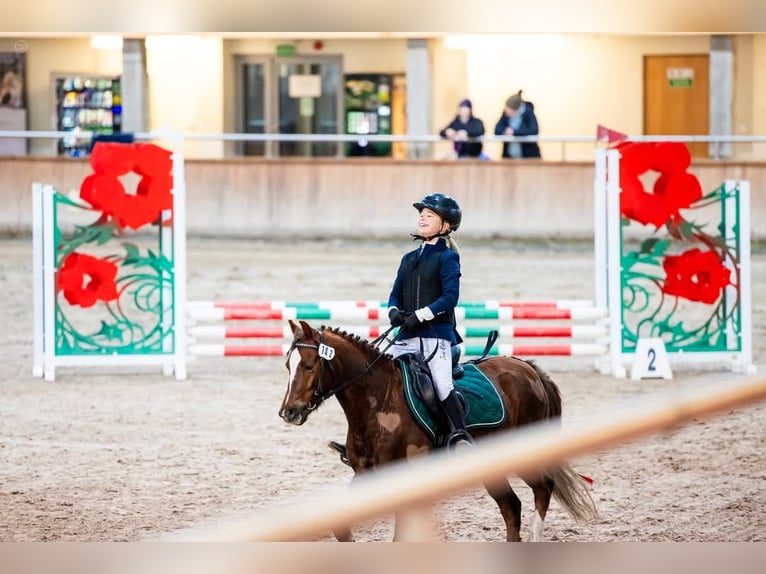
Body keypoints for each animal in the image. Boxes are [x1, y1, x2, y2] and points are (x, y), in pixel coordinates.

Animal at [280, 322, 596, 544]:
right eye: (287, 366)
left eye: (308, 365)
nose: (289, 412)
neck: (378, 401)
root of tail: (528, 368)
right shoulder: (366, 473)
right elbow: (341, 529)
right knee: (511, 506)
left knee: (542, 488)